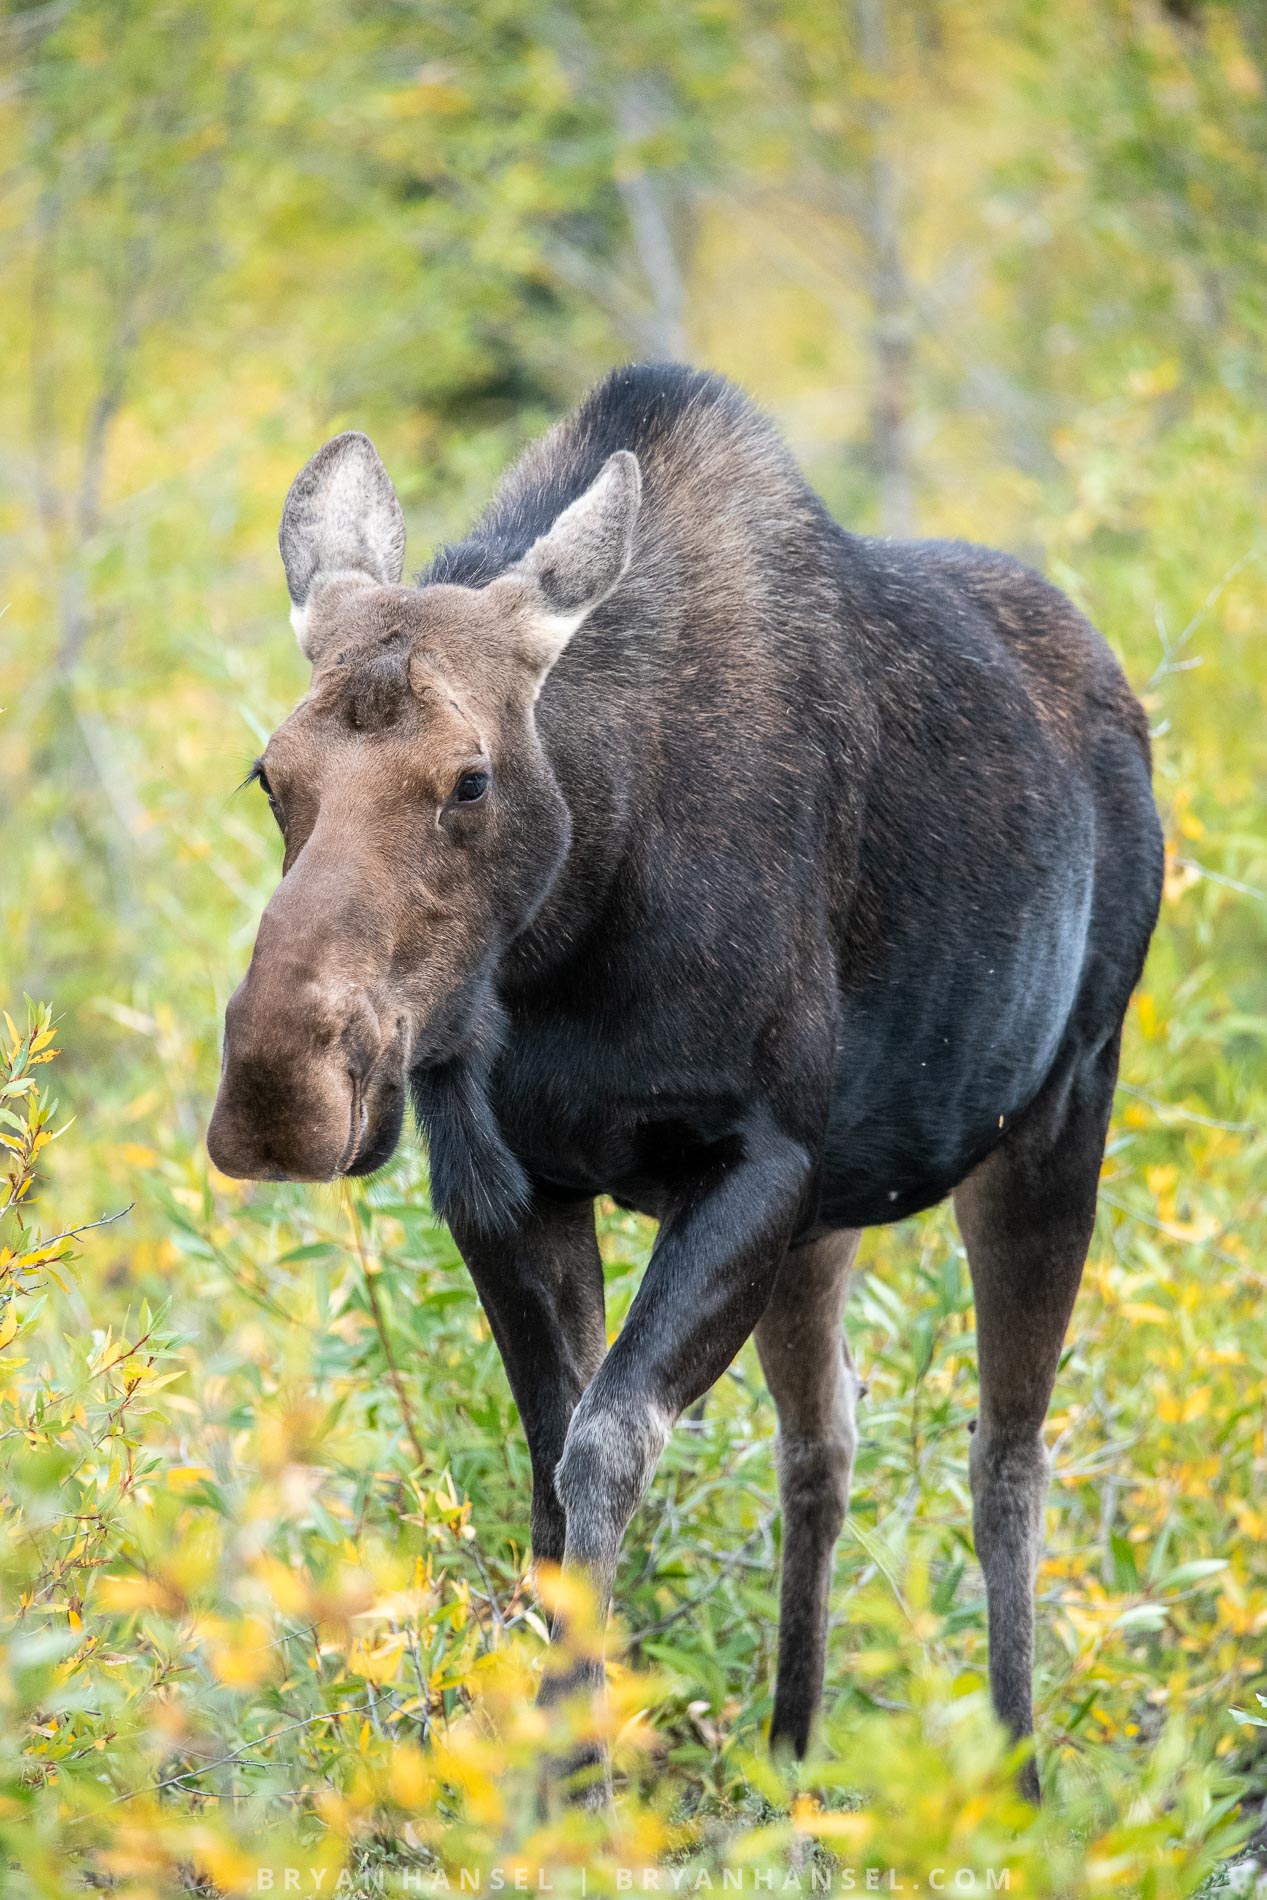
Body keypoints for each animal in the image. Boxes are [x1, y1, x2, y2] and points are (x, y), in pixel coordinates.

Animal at [210, 362, 1170, 1801]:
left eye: (469, 780)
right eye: (271, 773)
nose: (281, 1088)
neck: (572, 931)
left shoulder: (750, 1163)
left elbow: (607, 1449)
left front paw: (577, 1792)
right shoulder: (509, 1186)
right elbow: (552, 1475)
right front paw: (551, 1784)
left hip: (1056, 1111)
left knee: (1005, 1452)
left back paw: (1013, 1783)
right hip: (832, 1215)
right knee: (822, 1442)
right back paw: (787, 1764)